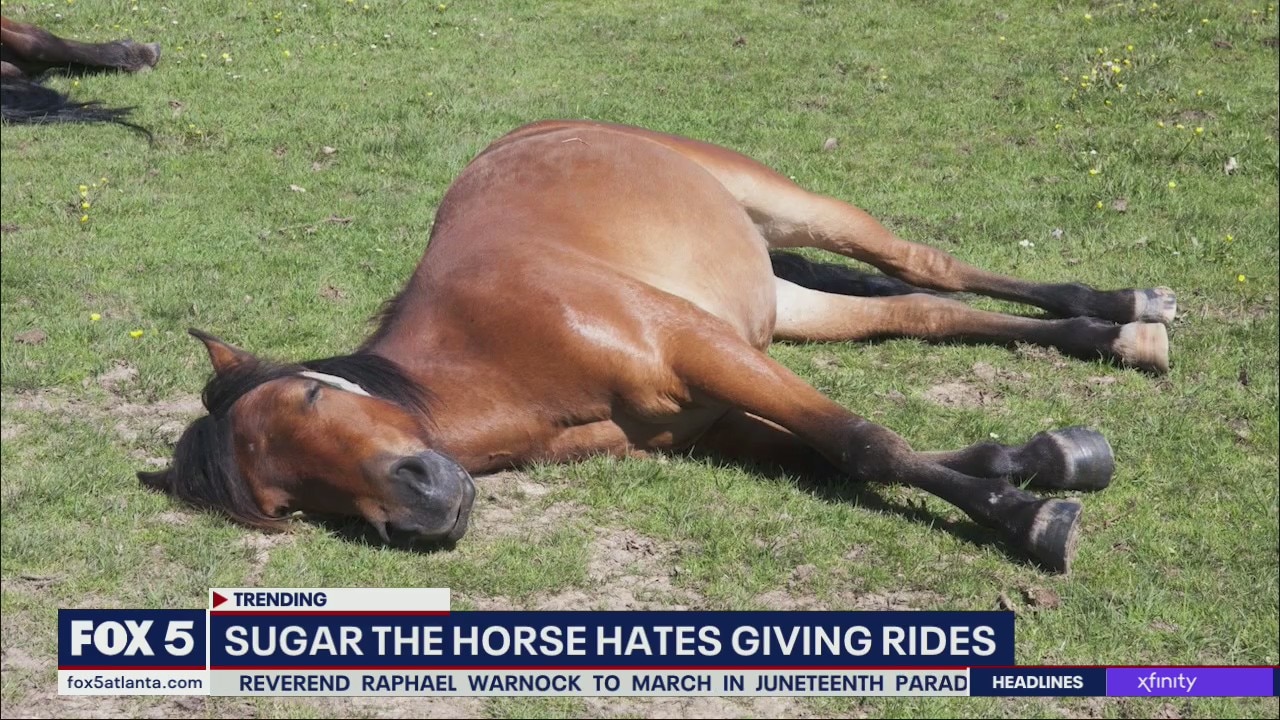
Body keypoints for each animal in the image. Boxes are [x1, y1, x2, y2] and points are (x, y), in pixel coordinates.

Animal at [138, 120, 1176, 575]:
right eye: (286, 502)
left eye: (313, 398)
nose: (422, 508)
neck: (500, 353)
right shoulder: (706, 422)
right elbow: (839, 454)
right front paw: (1040, 460)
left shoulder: (703, 349)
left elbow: (863, 443)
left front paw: (1029, 521)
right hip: (781, 303)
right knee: (919, 308)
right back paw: (1118, 331)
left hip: (788, 210)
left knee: (924, 264)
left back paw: (1132, 307)